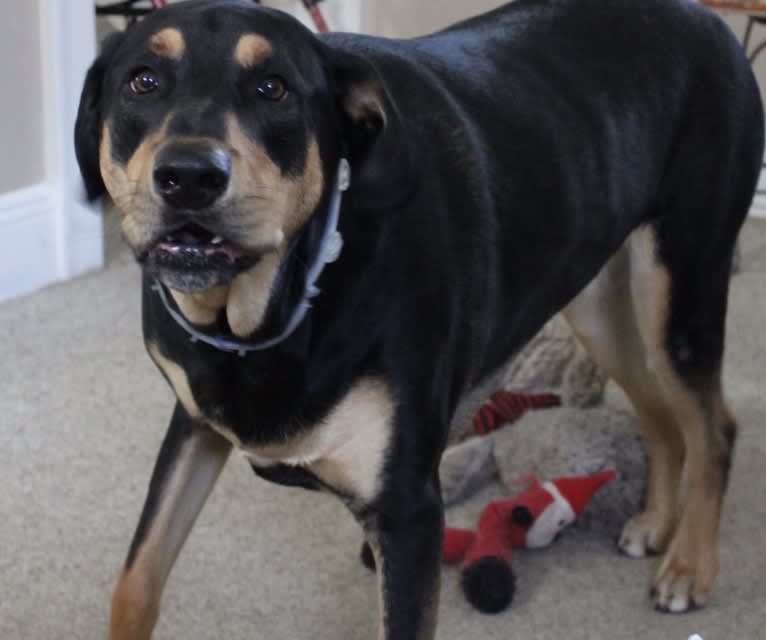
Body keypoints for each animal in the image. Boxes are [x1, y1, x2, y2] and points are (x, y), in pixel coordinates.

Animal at [75, 0, 764, 636]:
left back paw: (688, 567)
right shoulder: (194, 420)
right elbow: (136, 580)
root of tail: (703, 15)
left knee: (712, 426)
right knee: (660, 415)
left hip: (680, 283)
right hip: (597, 301)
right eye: (142, 81)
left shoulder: (406, 512)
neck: (267, 310)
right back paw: (654, 523)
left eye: (273, 88)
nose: (189, 176)